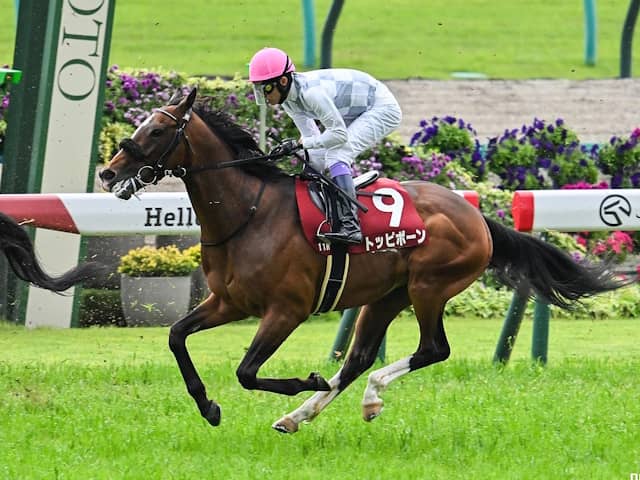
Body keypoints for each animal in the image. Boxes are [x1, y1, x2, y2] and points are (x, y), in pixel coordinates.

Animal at [99, 88, 625, 434]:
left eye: (158, 129)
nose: (108, 172)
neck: (249, 213)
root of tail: (476, 216)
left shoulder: (286, 310)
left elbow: (247, 372)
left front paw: (300, 379)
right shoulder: (229, 303)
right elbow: (176, 336)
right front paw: (208, 406)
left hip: (429, 286)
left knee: (432, 349)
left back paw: (366, 397)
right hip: (385, 296)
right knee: (358, 358)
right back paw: (300, 416)